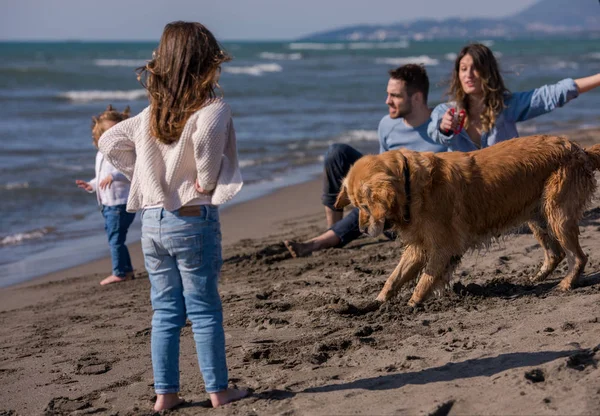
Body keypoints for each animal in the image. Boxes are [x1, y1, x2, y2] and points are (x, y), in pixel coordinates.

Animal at [336, 135, 600, 308]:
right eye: (356, 206)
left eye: (364, 206)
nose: (362, 229)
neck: (411, 186)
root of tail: (579, 148)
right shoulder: (419, 246)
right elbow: (394, 277)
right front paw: (376, 302)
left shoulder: (443, 246)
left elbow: (426, 278)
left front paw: (412, 304)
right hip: (538, 216)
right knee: (556, 253)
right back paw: (536, 279)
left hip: (557, 213)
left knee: (578, 256)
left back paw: (565, 284)